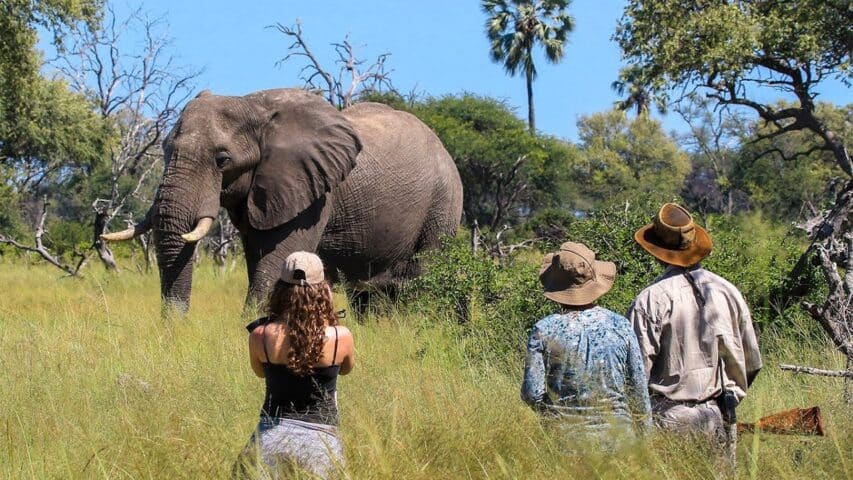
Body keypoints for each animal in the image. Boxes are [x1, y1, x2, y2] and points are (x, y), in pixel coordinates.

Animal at [103, 89, 462, 316]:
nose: (175, 328)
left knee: (420, 279)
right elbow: (258, 258)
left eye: (222, 160)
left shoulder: (315, 195)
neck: (251, 104)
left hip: (443, 205)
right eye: (164, 149)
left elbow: (278, 259)